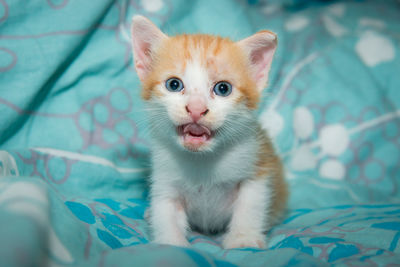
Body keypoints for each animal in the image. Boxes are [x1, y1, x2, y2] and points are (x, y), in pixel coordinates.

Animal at [131, 15, 288, 249]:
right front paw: (170, 243)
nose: (196, 108)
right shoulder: (165, 177)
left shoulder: (257, 163)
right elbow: (165, 209)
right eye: (174, 84)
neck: (202, 160)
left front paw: (243, 238)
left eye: (223, 88)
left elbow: (251, 204)